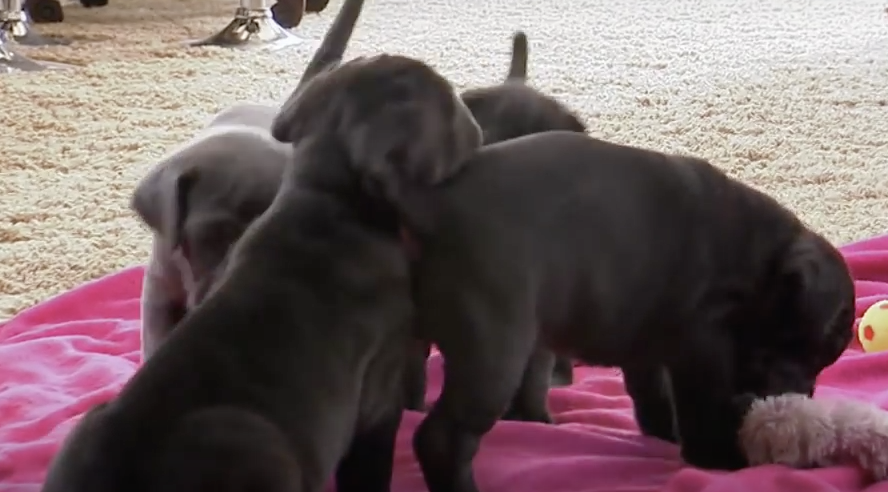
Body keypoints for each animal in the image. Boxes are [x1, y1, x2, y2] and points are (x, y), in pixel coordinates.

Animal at [270, 55, 852, 490]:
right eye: (810, 349)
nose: (805, 396)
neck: (758, 260)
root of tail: (426, 203)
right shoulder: (701, 349)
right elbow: (698, 407)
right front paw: (719, 460)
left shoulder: (649, 340)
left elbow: (650, 394)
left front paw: (662, 434)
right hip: (494, 353)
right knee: (442, 439)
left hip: (411, 347)